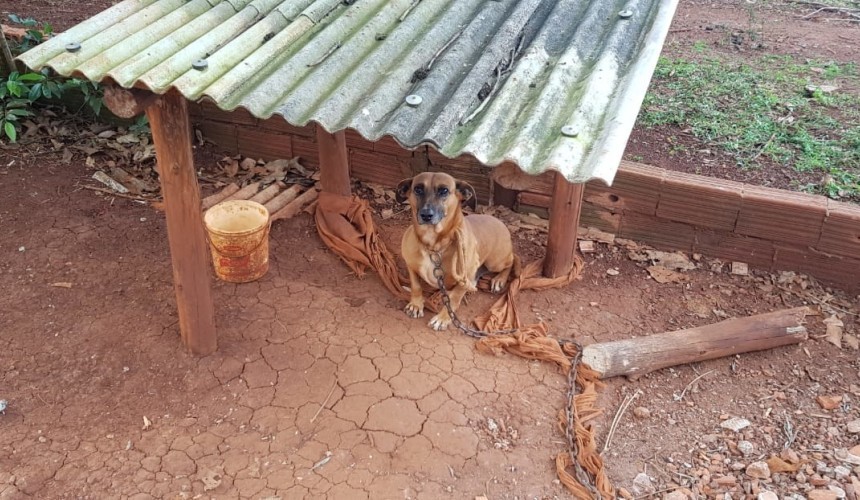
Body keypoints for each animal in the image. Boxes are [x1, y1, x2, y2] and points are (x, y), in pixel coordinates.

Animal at [394, 173, 516, 332]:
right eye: (418, 189)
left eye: (444, 190)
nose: (426, 215)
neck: (434, 246)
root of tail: (500, 221)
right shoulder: (411, 266)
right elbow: (416, 286)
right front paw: (415, 305)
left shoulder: (466, 276)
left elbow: (454, 298)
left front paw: (443, 318)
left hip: (495, 262)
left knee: (512, 261)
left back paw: (499, 280)